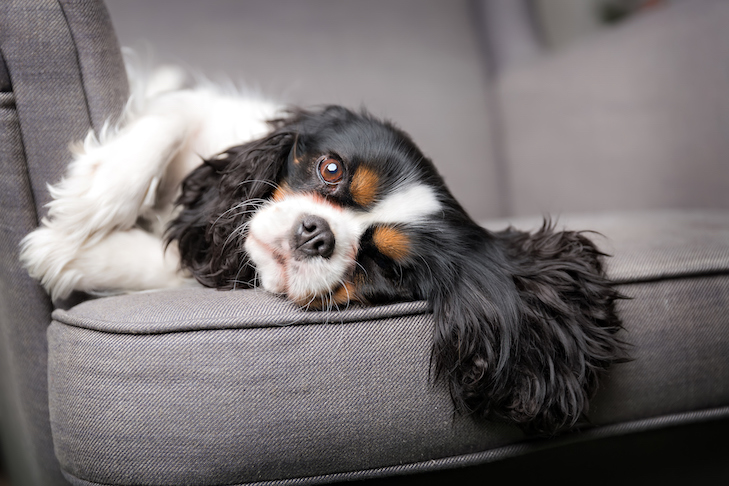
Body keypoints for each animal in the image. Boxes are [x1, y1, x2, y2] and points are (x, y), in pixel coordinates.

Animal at [22, 69, 624, 436]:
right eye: (330, 168)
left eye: (384, 265)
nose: (317, 235)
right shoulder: (212, 113)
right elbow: (171, 118)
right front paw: (92, 196)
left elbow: (166, 264)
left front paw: (62, 250)